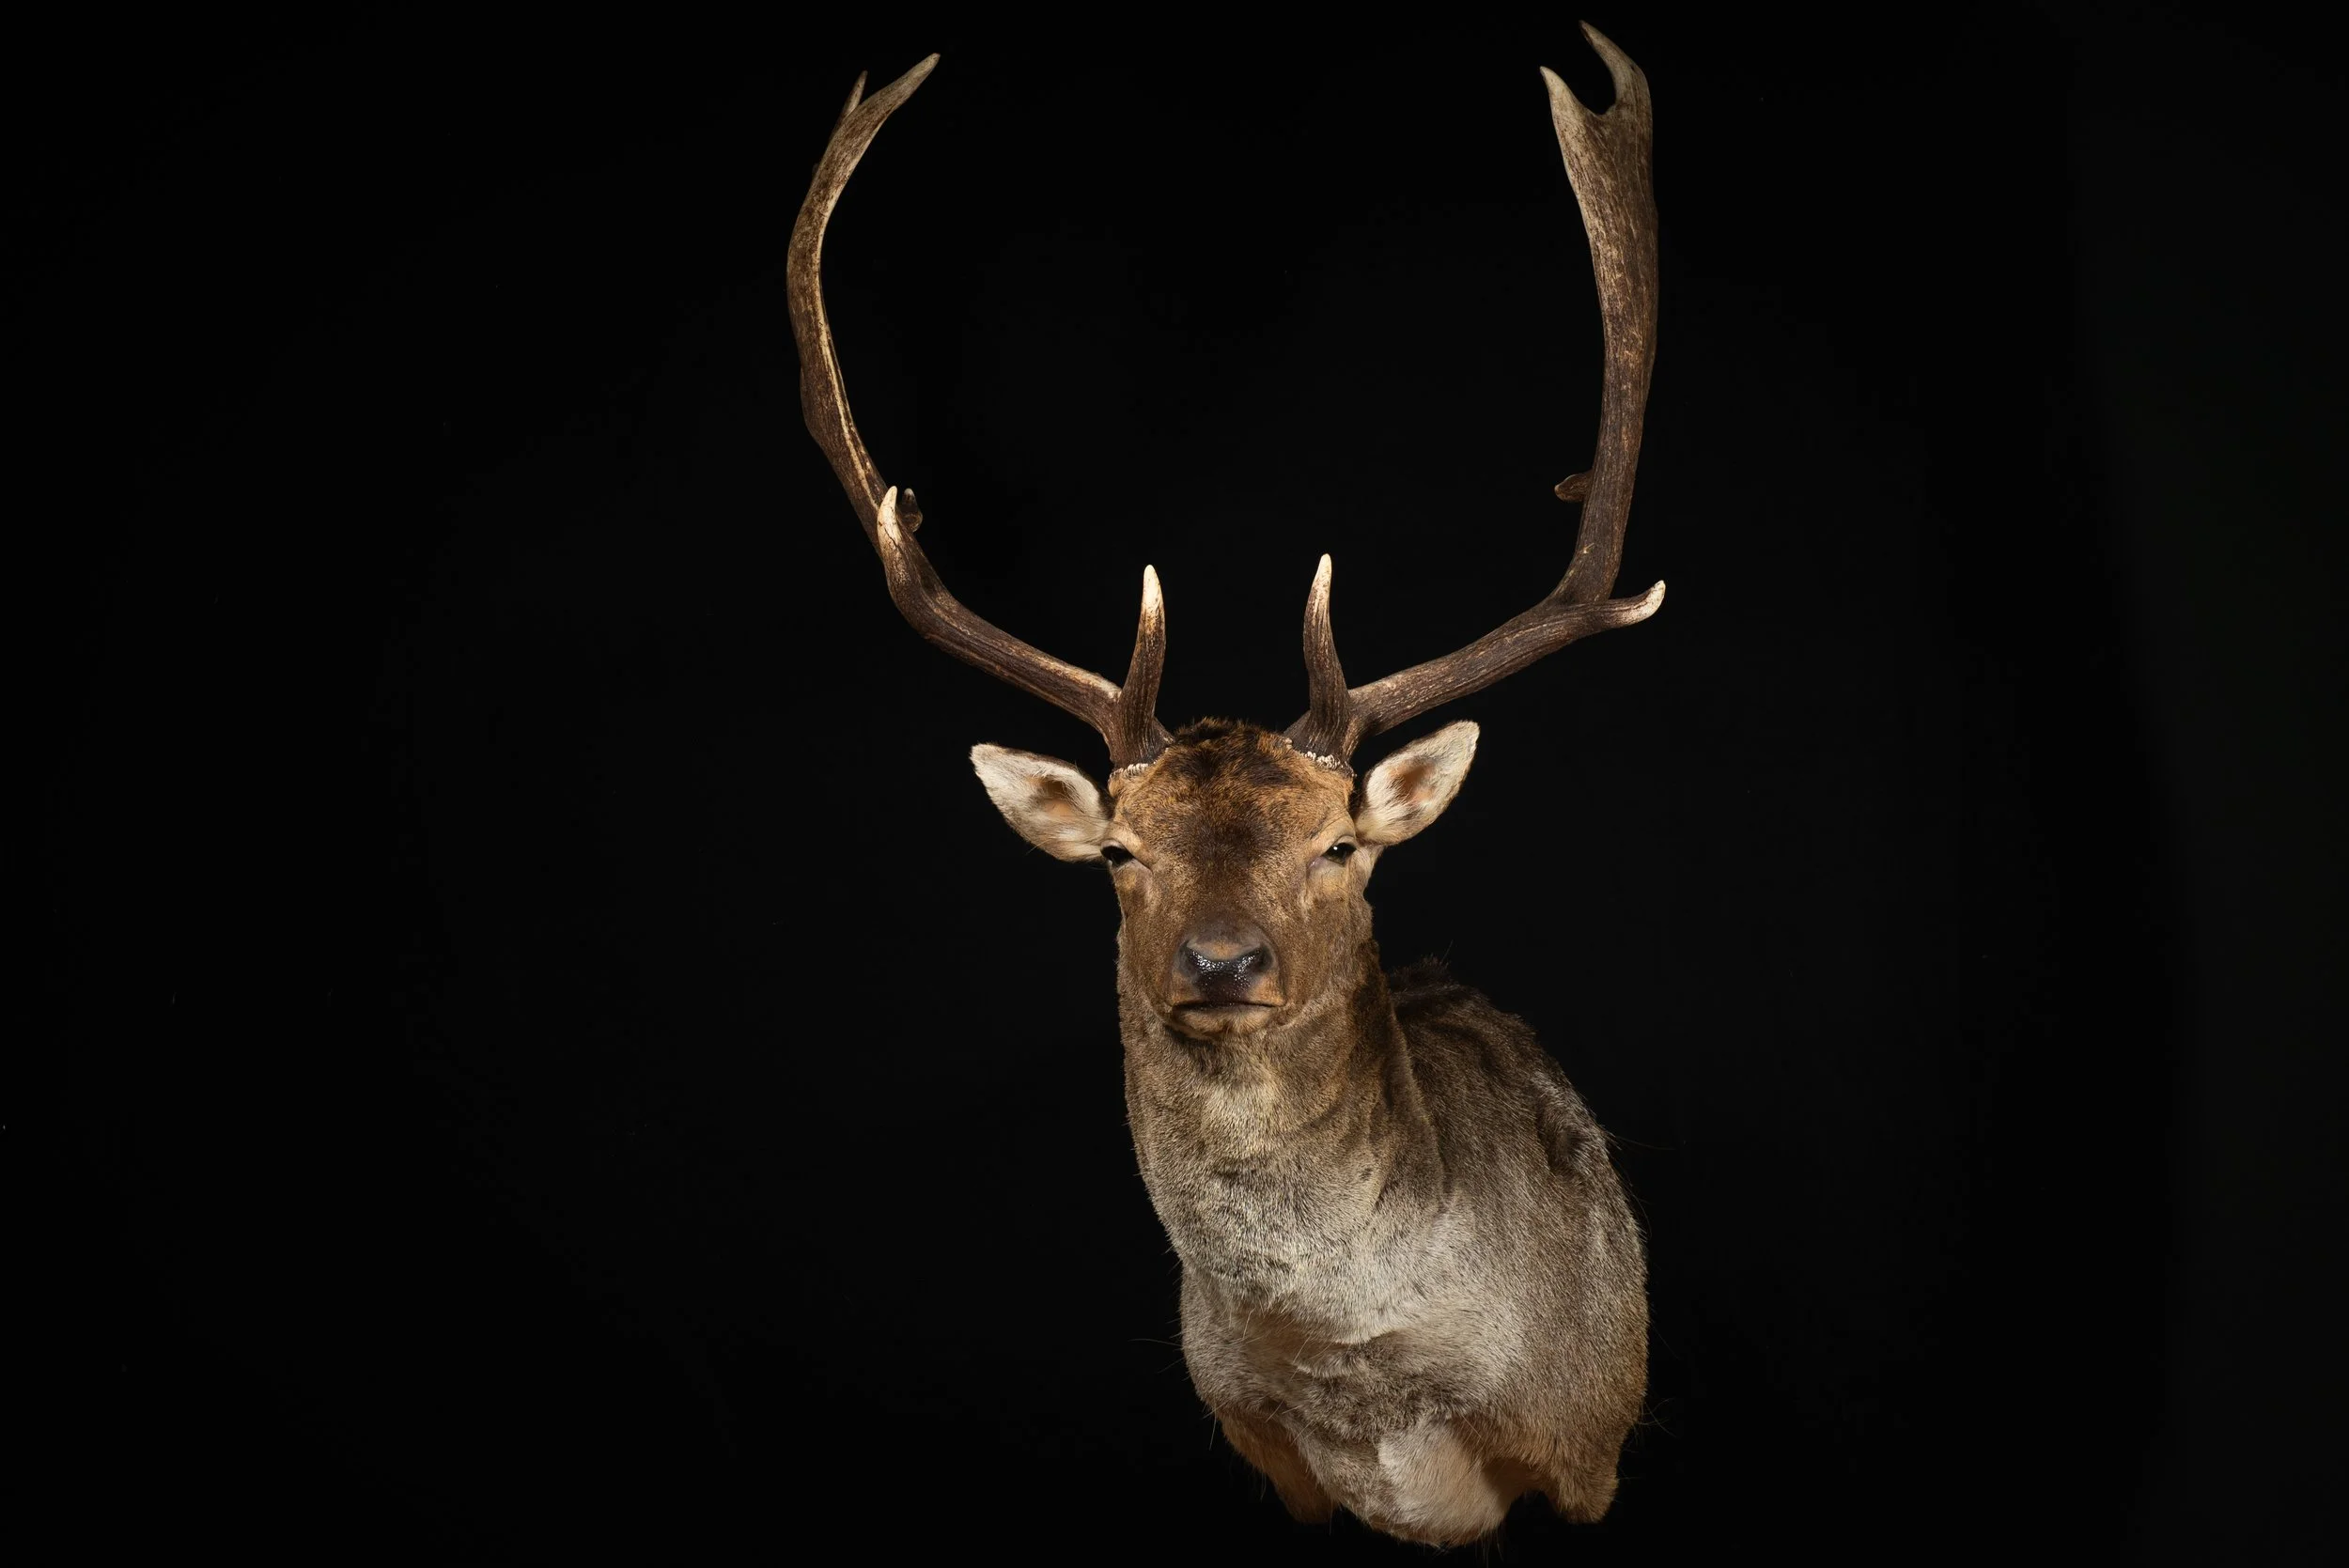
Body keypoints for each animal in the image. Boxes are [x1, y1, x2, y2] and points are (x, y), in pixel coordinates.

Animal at [787, 24, 1663, 1547]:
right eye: (1120, 851)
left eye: (1340, 845)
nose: (1221, 959)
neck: (1369, 1394)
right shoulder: (1272, 1461)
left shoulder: (1584, 1450)